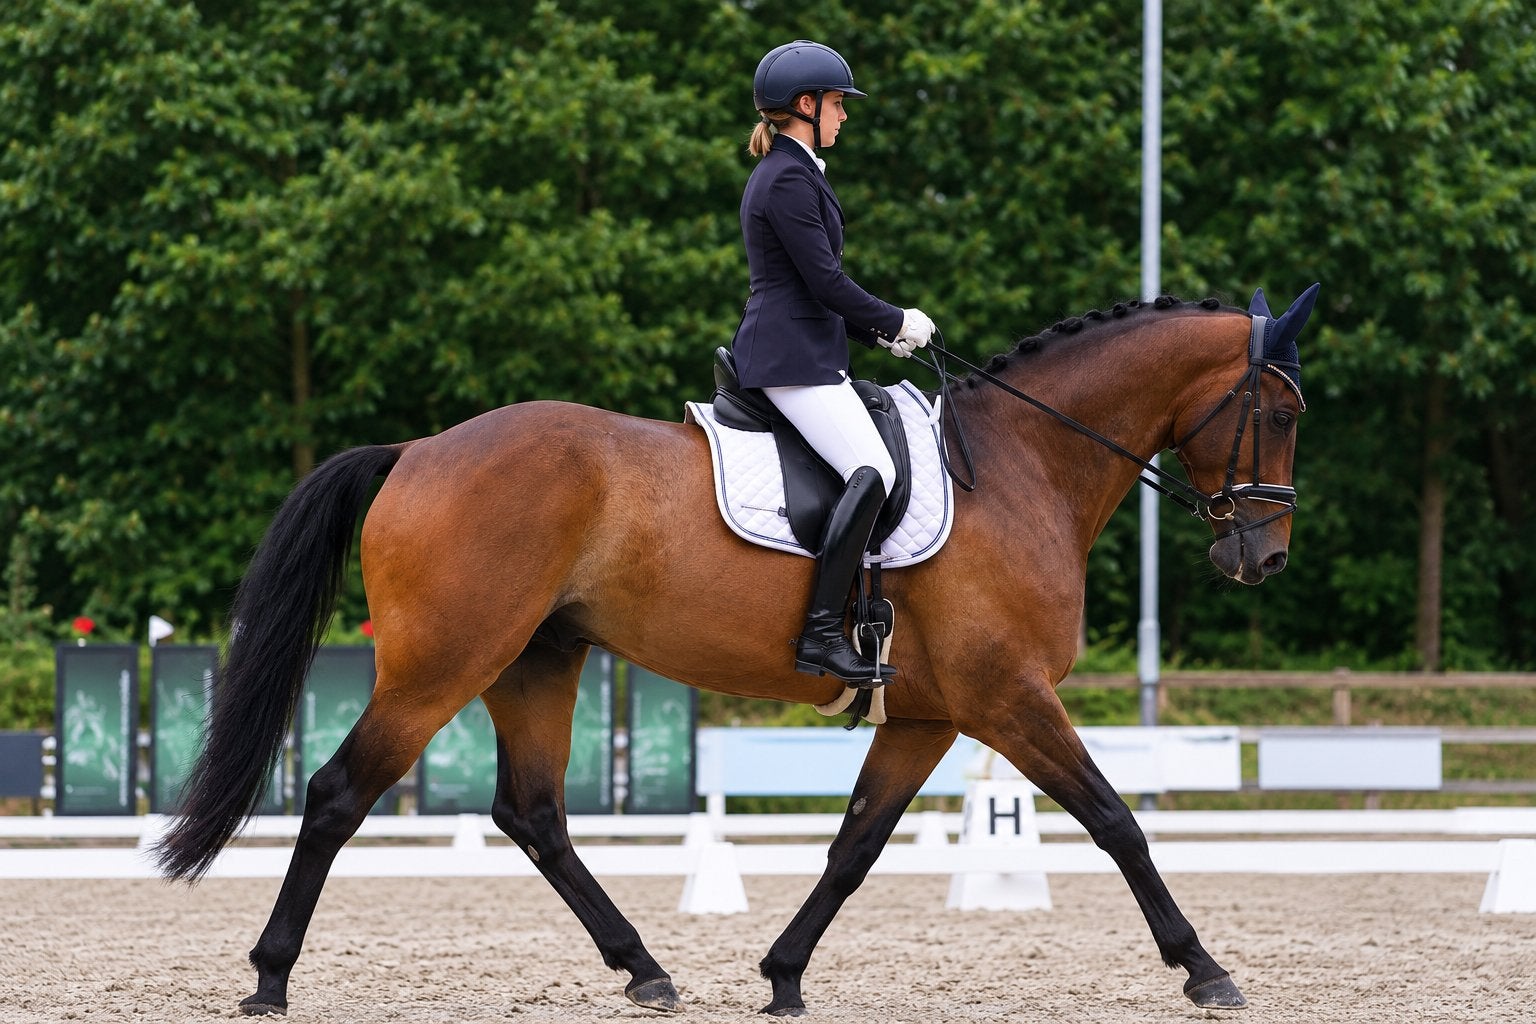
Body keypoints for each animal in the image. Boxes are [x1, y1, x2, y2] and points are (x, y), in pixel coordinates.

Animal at [155, 285, 1320, 1017]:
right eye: (1278, 409)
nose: (1263, 556)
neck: (1023, 465)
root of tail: (417, 452)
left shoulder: (933, 711)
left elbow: (856, 845)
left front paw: (783, 975)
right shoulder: (1008, 697)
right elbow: (1118, 821)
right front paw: (1205, 969)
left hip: (538, 659)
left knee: (533, 814)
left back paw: (644, 970)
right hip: (446, 662)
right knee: (339, 792)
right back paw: (268, 978)